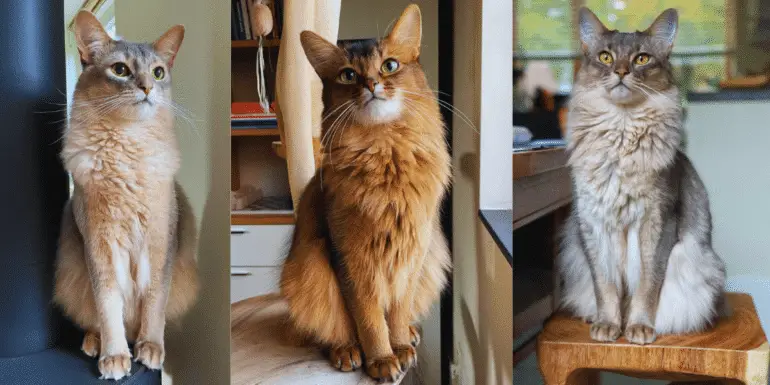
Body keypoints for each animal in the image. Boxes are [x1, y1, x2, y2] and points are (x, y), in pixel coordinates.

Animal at [53, 10, 198, 380]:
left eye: (158, 72)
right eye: (120, 70)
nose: (146, 87)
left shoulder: (161, 243)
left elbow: (155, 302)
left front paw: (151, 348)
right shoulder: (99, 245)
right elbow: (108, 306)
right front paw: (115, 355)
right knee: (93, 319)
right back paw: (94, 343)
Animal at [280, 5, 450, 380]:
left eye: (389, 65)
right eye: (347, 75)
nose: (372, 84)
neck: (386, 157)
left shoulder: (412, 255)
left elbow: (397, 312)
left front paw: (400, 347)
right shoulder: (351, 259)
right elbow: (369, 319)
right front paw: (381, 359)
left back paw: (410, 335)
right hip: (306, 271)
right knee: (326, 330)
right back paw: (346, 350)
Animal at [556, 7, 724, 344]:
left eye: (642, 59)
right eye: (605, 57)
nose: (621, 72)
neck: (621, 131)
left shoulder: (656, 222)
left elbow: (646, 286)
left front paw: (638, 327)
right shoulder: (593, 223)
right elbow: (605, 287)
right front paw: (608, 324)